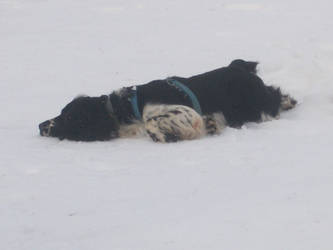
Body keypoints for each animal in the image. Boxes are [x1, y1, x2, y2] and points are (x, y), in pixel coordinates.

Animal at [38, 59, 296, 143]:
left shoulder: (180, 110)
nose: (40, 126)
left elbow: (153, 123)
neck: (122, 109)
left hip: (256, 106)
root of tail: (240, 66)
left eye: (69, 117)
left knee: (277, 97)